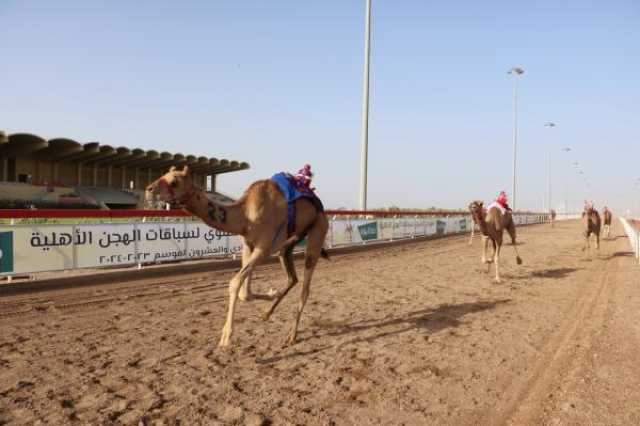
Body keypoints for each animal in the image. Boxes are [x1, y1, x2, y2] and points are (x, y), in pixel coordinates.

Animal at [146, 166, 330, 346]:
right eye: (163, 174)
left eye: (174, 182)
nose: (149, 190)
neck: (245, 215)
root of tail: (321, 208)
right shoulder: (248, 245)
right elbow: (244, 293)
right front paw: (272, 293)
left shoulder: (264, 247)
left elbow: (235, 283)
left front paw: (226, 337)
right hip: (290, 242)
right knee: (292, 276)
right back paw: (267, 313)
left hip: (318, 230)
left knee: (306, 287)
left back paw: (292, 335)